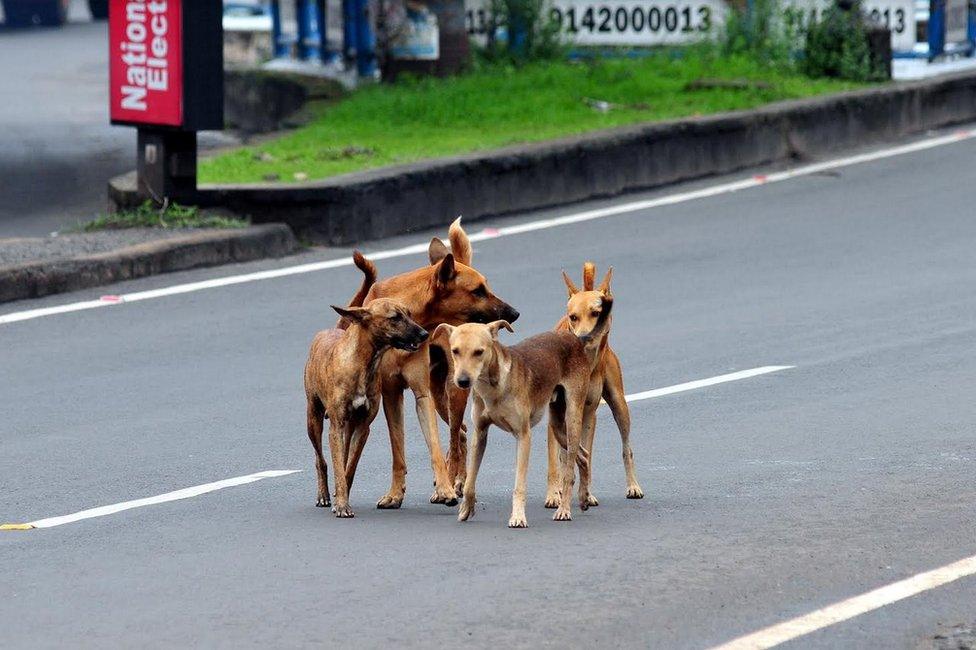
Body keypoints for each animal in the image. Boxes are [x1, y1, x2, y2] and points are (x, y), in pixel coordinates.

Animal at [304, 298, 428, 516]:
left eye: (409, 314)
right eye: (395, 318)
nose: (424, 334)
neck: (362, 363)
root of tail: (326, 331)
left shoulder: (363, 427)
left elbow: (349, 467)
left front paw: (342, 496)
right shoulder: (336, 426)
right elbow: (337, 467)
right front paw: (341, 505)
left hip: (348, 427)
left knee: (342, 457)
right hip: (314, 420)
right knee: (321, 460)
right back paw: (323, 495)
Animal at [340, 218, 520, 506]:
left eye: (486, 288)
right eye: (478, 291)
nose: (514, 313)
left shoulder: (421, 393)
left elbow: (435, 445)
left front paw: (445, 487)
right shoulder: (392, 394)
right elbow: (397, 450)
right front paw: (395, 493)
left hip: (452, 391)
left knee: (457, 437)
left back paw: (454, 480)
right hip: (439, 396)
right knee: (461, 433)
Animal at [438, 294, 612, 528]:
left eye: (479, 352)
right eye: (455, 351)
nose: (463, 381)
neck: (495, 386)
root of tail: (576, 340)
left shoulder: (523, 436)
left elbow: (519, 484)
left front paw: (518, 517)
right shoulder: (479, 435)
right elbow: (470, 481)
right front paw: (466, 509)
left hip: (572, 419)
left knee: (569, 471)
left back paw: (564, 509)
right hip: (558, 425)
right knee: (583, 456)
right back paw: (584, 498)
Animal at [544, 262, 644, 506]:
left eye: (596, 314)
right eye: (573, 317)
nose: (582, 338)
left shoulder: (588, 412)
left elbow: (584, 455)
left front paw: (585, 492)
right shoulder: (554, 413)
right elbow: (555, 459)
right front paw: (554, 494)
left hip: (619, 405)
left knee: (626, 447)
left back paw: (632, 485)